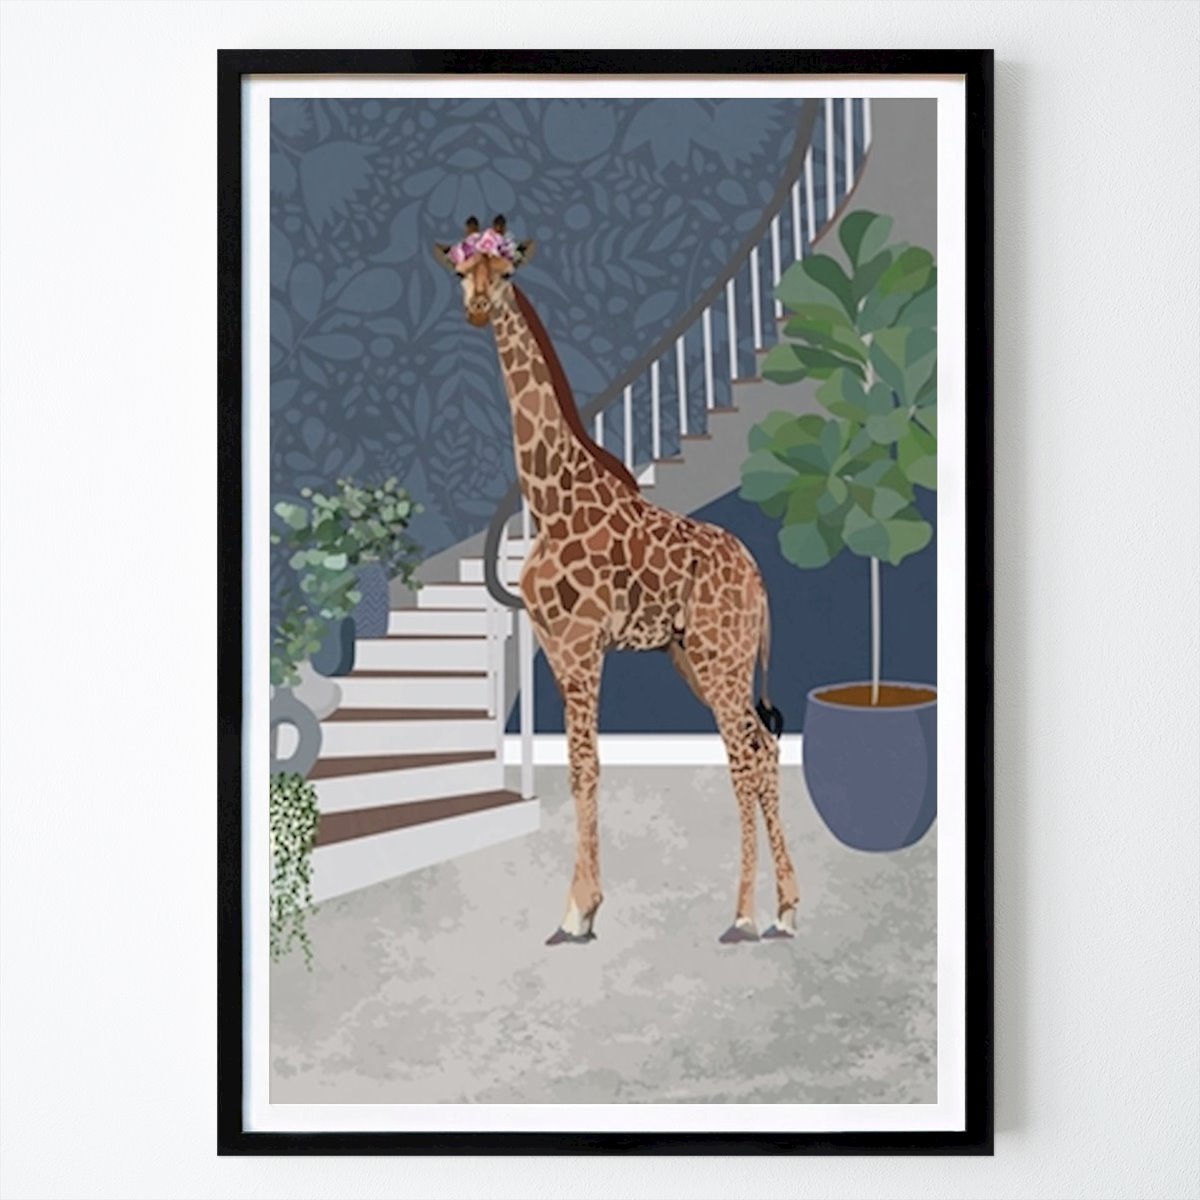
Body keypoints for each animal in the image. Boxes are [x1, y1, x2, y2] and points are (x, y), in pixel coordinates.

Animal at [435, 216, 799, 945]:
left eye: (507, 271)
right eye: (461, 272)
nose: (479, 308)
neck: (550, 498)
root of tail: (758, 577)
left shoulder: (581, 647)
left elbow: (586, 765)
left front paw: (578, 910)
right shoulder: (554, 647)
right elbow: (580, 768)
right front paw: (582, 907)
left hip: (721, 658)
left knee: (744, 756)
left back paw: (744, 915)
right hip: (699, 658)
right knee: (762, 745)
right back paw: (787, 910)